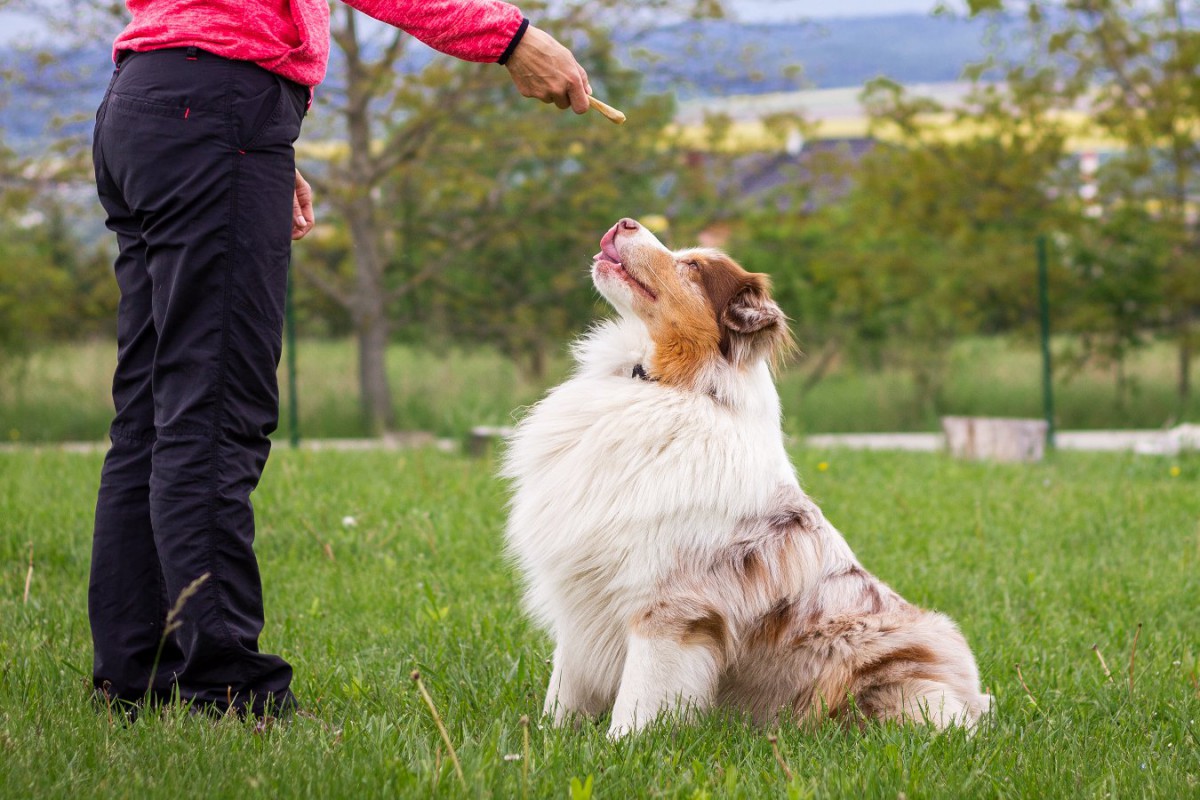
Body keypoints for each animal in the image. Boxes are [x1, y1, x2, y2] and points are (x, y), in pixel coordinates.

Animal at [501, 217, 988, 738]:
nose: (624, 222)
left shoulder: (669, 605)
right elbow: (565, 686)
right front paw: (548, 736)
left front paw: (622, 744)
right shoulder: (582, 591)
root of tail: (974, 695)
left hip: (903, 683)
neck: (673, 385)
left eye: (693, 266)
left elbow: (640, 697)